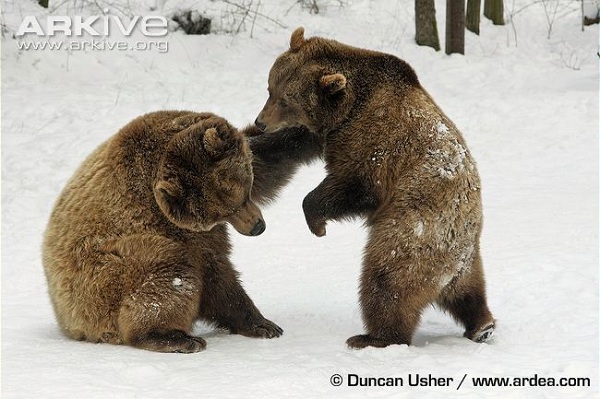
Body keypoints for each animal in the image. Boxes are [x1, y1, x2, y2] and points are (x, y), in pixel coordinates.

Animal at [42, 110, 324, 354]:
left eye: (243, 190)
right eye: (222, 211)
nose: (258, 227)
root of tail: (65, 319)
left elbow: (266, 155)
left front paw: (307, 131)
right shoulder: (176, 228)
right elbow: (215, 274)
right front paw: (263, 324)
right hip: (102, 279)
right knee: (168, 268)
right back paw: (175, 338)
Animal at [255, 28, 494, 348]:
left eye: (286, 101)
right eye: (271, 89)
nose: (260, 122)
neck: (350, 104)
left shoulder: (375, 140)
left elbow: (356, 184)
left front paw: (317, 224)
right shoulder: (325, 131)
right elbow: (290, 143)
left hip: (416, 228)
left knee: (388, 277)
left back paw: (374, 337)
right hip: (464, 257)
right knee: (469, 292)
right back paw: (482, 325)